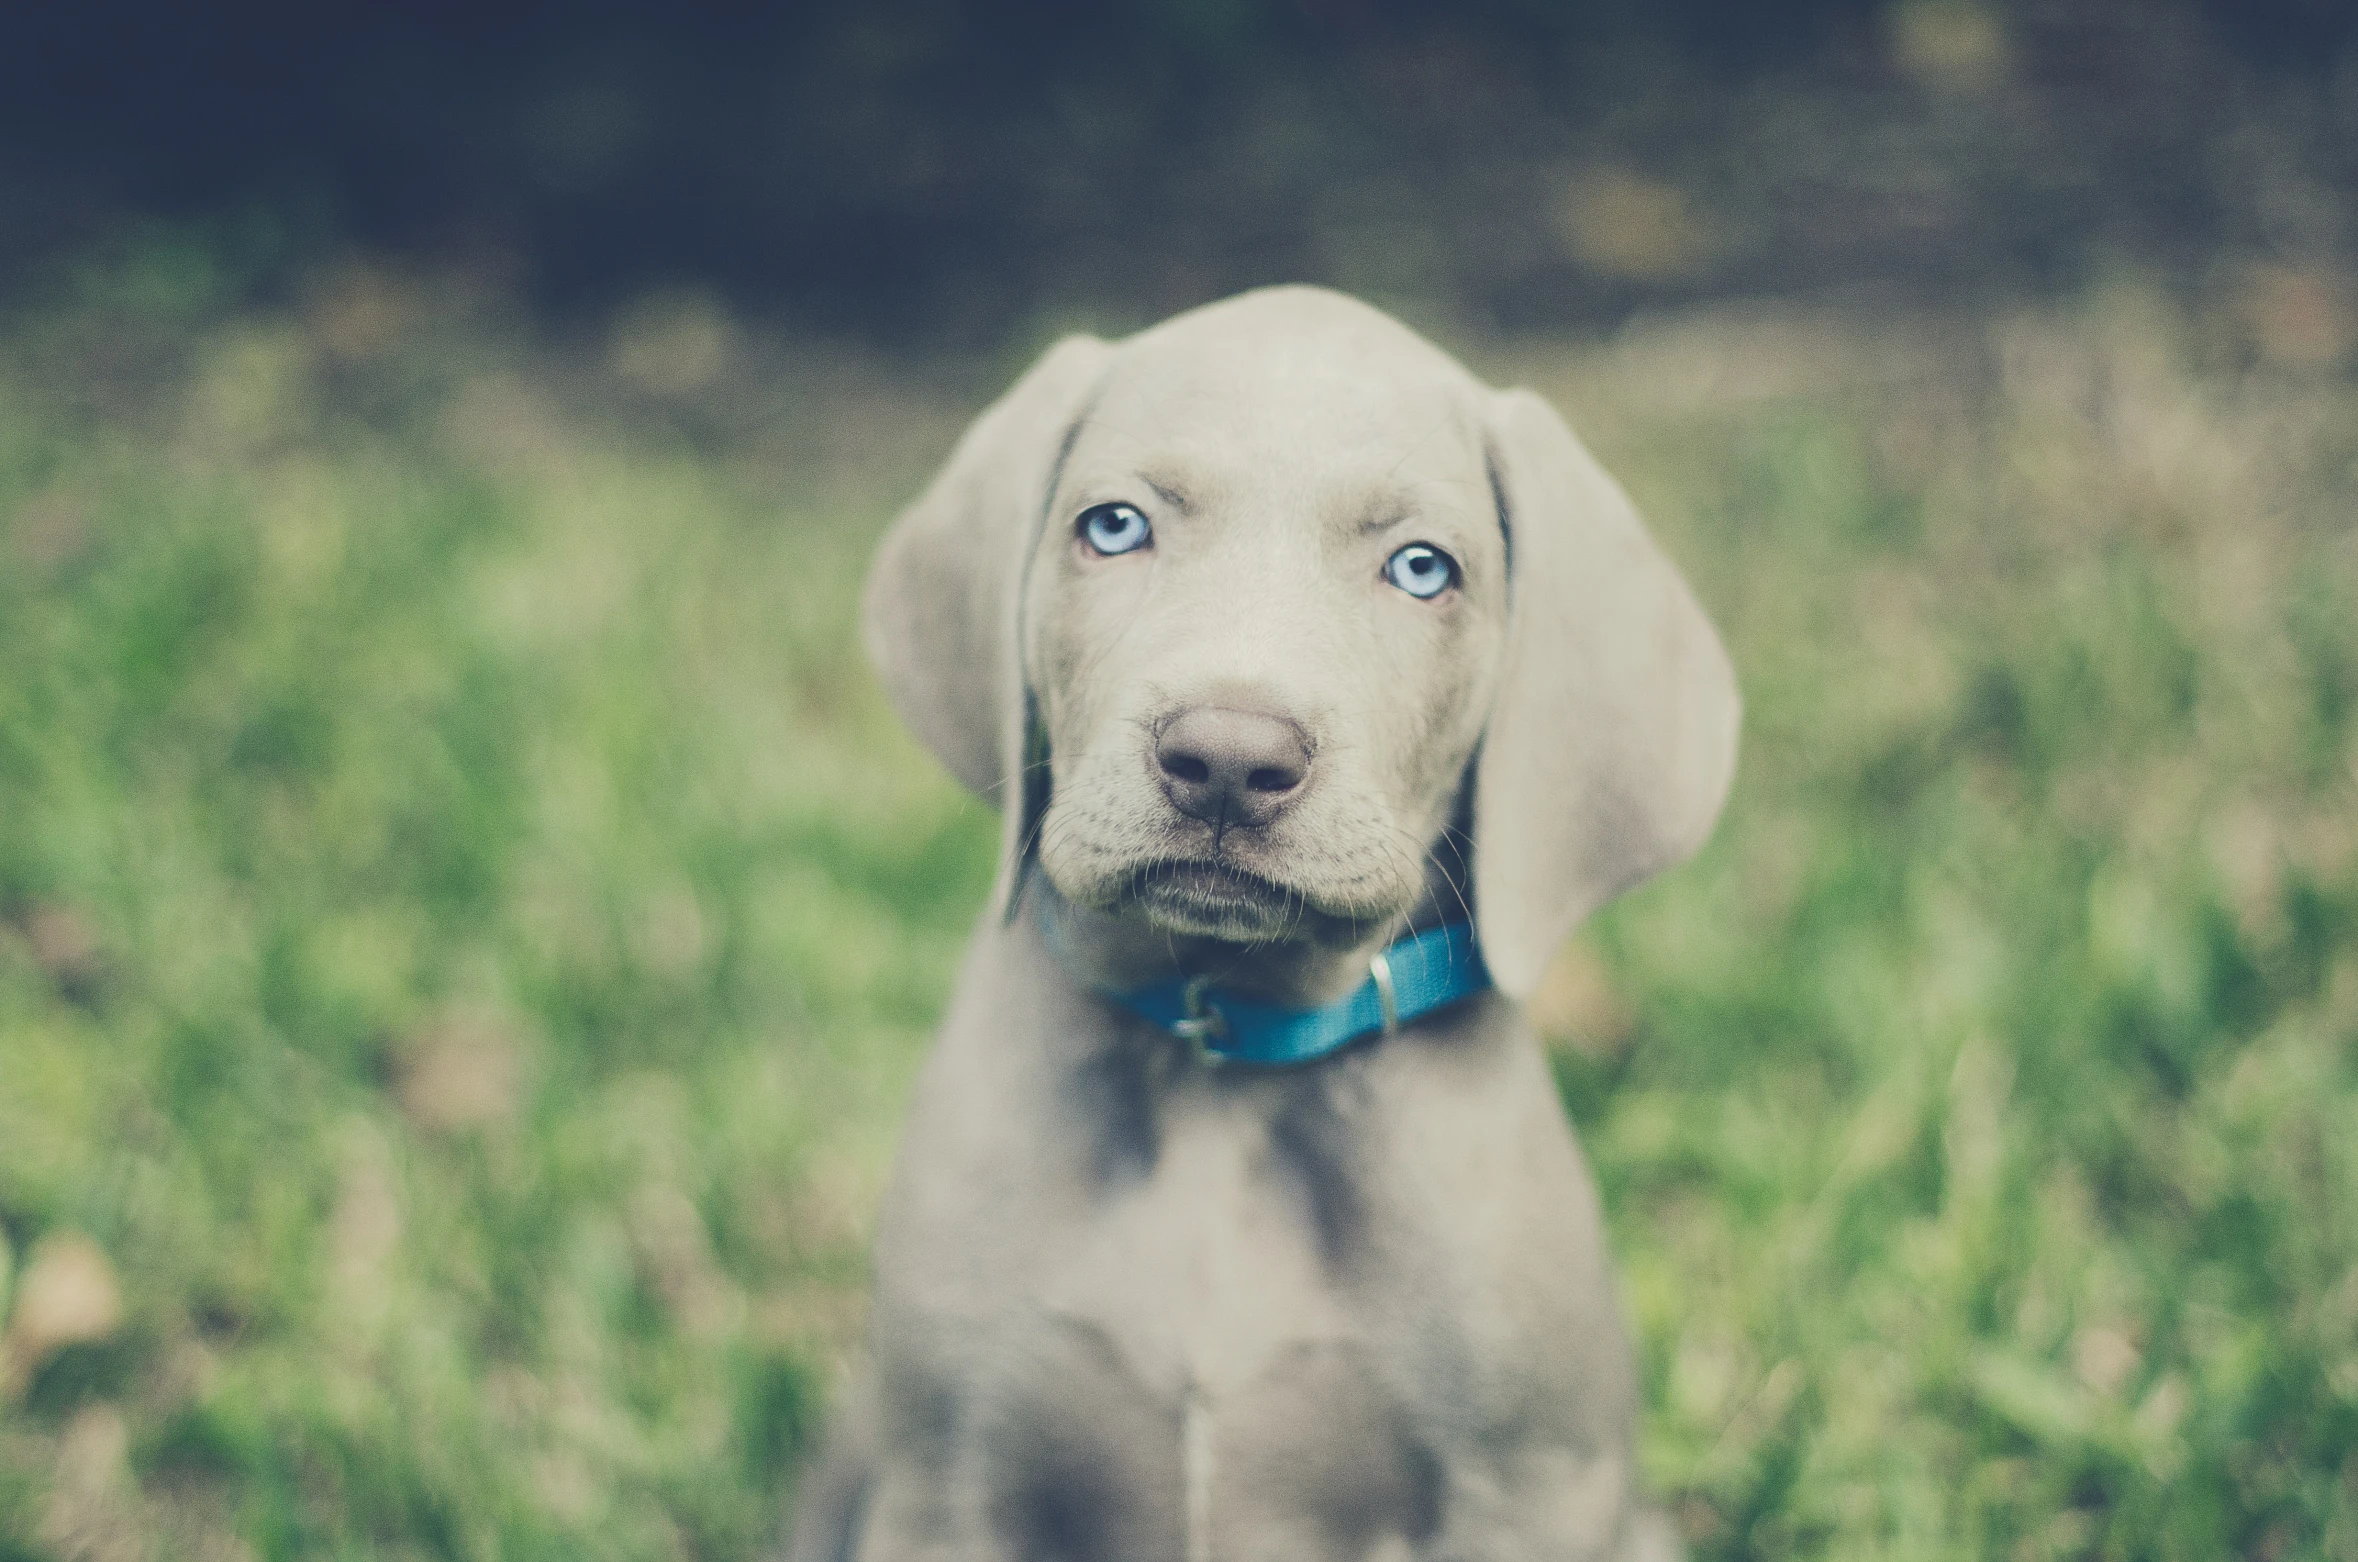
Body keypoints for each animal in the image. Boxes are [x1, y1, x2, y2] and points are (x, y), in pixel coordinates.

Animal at [801, 284, 1744, 1562]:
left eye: (1421, 567)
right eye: (1113, 527)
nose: (1228, 760)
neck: (1227, 1059)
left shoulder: (1528, 1489)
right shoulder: (946, 1489)